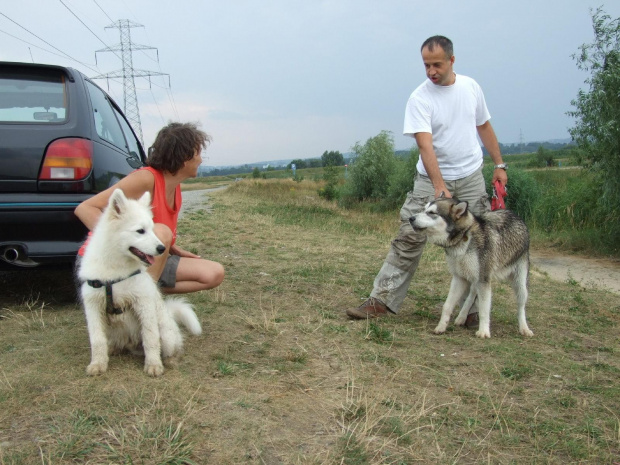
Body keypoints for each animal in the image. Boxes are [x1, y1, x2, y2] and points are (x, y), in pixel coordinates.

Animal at [76, 190, 200, 376]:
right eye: (140, 231)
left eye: (152, 229)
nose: (162, 248)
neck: (115, 273)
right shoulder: (93, 306)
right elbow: (97, 340)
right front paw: (97, 364)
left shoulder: (143, 303)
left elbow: (150, 338)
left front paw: (153, 365)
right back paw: (113, 350)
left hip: (166, 334)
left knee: (171, 348)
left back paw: (170, 360)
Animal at [410, 194, 536, 338]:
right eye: (423, 209)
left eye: (432, 213)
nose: (411, 218)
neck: (465, 236)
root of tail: (517, 216)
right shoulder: (459, 278)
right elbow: (447, 305)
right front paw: (441, 327)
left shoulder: (483, 281)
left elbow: (484, 309)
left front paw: (484, 331)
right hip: (474, 278)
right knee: (471, 295)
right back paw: (461, 317)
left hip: (520, 285)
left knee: (521, 308)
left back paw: (524, 328)